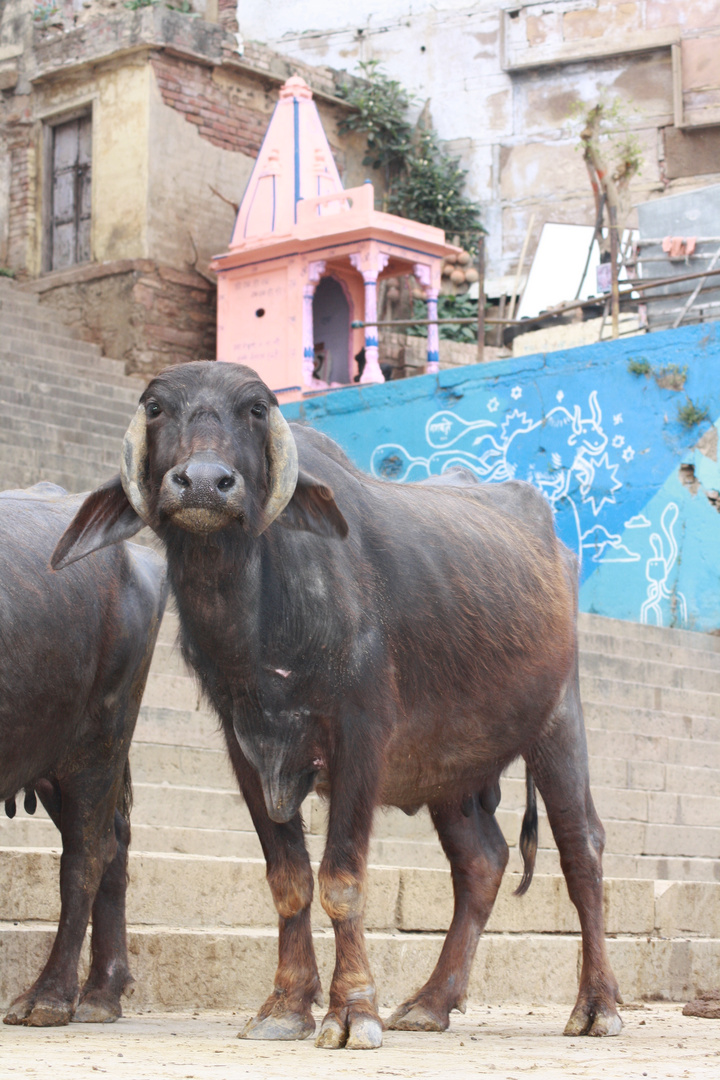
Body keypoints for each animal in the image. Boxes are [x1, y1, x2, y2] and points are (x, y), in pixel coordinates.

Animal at [0, 486, 166, 1023]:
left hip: (98, 742)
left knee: (86, 857)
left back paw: (49, 996)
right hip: (56, 765)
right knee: (115, 843)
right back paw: (101, 992)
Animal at [52, 360, 626, 1045]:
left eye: (255, 409)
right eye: (159, 406)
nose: (205, 484)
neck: (259, 622)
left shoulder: (361, 737)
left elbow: (342, 880)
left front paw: (352, 1010)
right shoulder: (248, 748)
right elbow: (290, 880)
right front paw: (286, 1005)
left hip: (559, 720)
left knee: (582, 848)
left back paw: (597, 1005)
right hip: (451, 768)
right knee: (482, 862)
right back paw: (431, 1002)